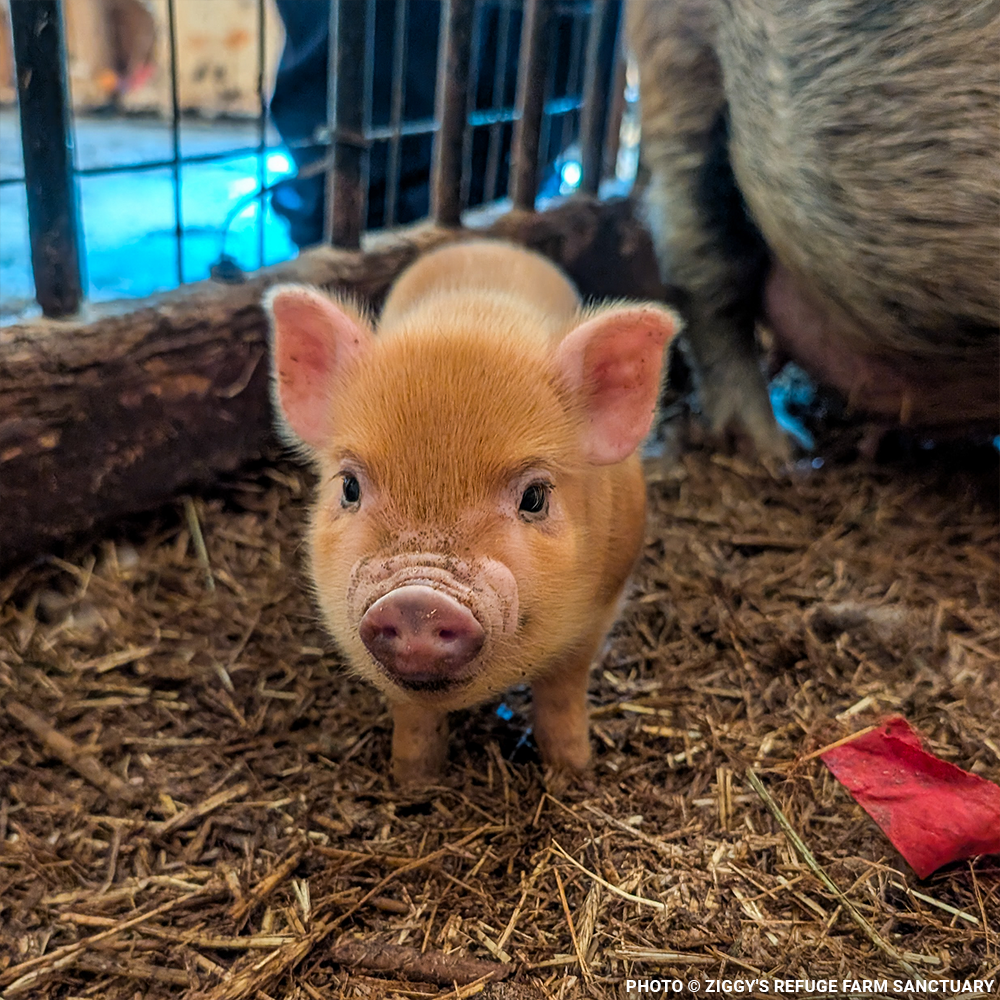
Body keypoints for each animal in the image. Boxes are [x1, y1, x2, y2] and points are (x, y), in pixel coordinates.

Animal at [265, 241, 679, 785]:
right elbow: (414, 718)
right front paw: (412, 780)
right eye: (350, 487)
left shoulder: (600, 611)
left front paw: (573, 771)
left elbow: (562, 695)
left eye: (535, 497)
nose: (417, 600)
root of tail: (487, 242)